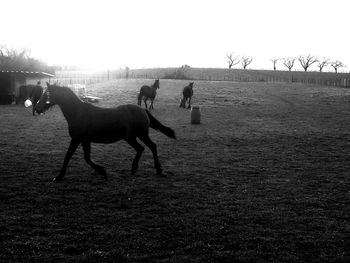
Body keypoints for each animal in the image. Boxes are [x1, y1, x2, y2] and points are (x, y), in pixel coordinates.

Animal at [35, 83, 176, 183]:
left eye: (46, 94)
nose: (37, 109)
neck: (78, 113)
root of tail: (142, 110)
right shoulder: (84, 140)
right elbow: (86, 158)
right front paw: (102, 171)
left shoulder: (77, 139)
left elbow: (69, 156)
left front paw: (59, 176)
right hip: (129, 137)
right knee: (140, 148)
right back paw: (134, 168)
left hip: (142, 135)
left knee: (152, 146)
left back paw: (158, 169)